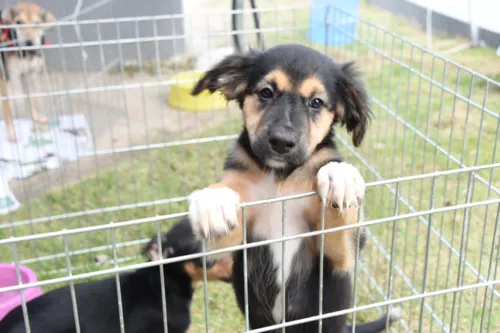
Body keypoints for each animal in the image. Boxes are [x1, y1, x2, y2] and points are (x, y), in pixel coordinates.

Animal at [0, 2, 54, 143]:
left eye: (37, 23)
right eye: (19, 22)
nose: (29, 43)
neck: (26, 54)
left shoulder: (30, 75)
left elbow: (32, 100)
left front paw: (36, 118)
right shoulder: (7, 80)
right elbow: (8, 110)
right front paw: (11, 133)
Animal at [188, 44, 402, 332]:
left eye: (316, 102)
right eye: (266, 92)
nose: (281, 141)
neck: (281, 176)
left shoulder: (340, 258)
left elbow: (341, 215)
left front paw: (341, 175)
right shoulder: (228, 246)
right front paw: (214, 201)